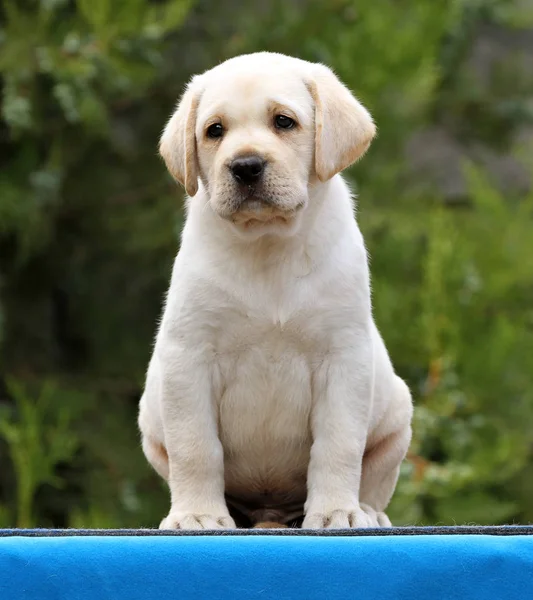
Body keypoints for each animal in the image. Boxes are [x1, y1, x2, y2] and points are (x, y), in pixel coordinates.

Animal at [138, 52, 412, 528]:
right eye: (214, 130)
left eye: (284, 121)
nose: (245, 166)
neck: (268, 246)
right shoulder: (189, 357)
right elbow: (196, 448)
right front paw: (197, 515)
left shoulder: (343, 358)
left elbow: (338, 445)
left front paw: (335, 511)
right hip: (151, 428)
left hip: (397, 416)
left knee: (374, 477)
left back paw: (366, 511)